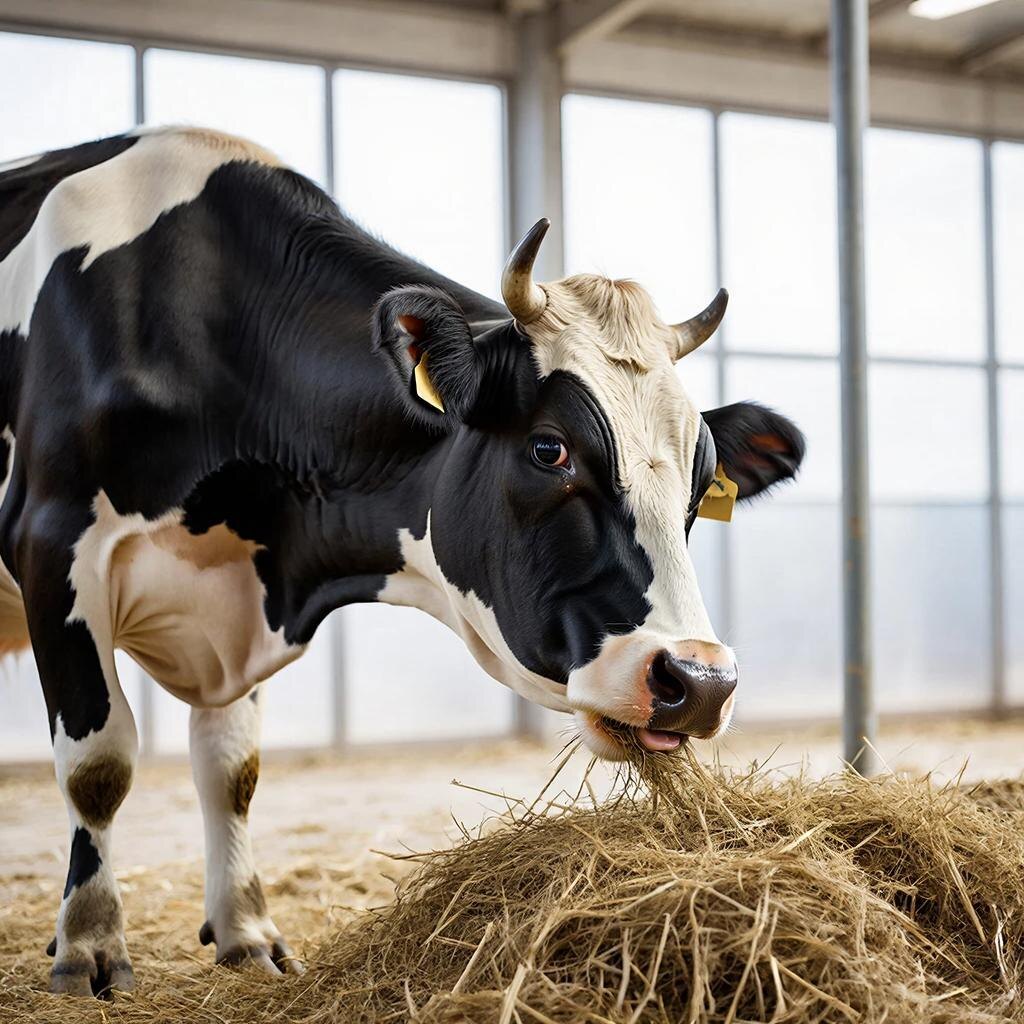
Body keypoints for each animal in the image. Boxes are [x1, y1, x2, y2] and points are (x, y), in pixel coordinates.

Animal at [0, 126, 804, 996]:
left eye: (700, 479)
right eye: (549, 449)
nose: (701, 681)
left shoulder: (240, 597)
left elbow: (230, 768)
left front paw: (246, 935)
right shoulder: (52, 548)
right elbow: (98, 762)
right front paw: (88, 946)